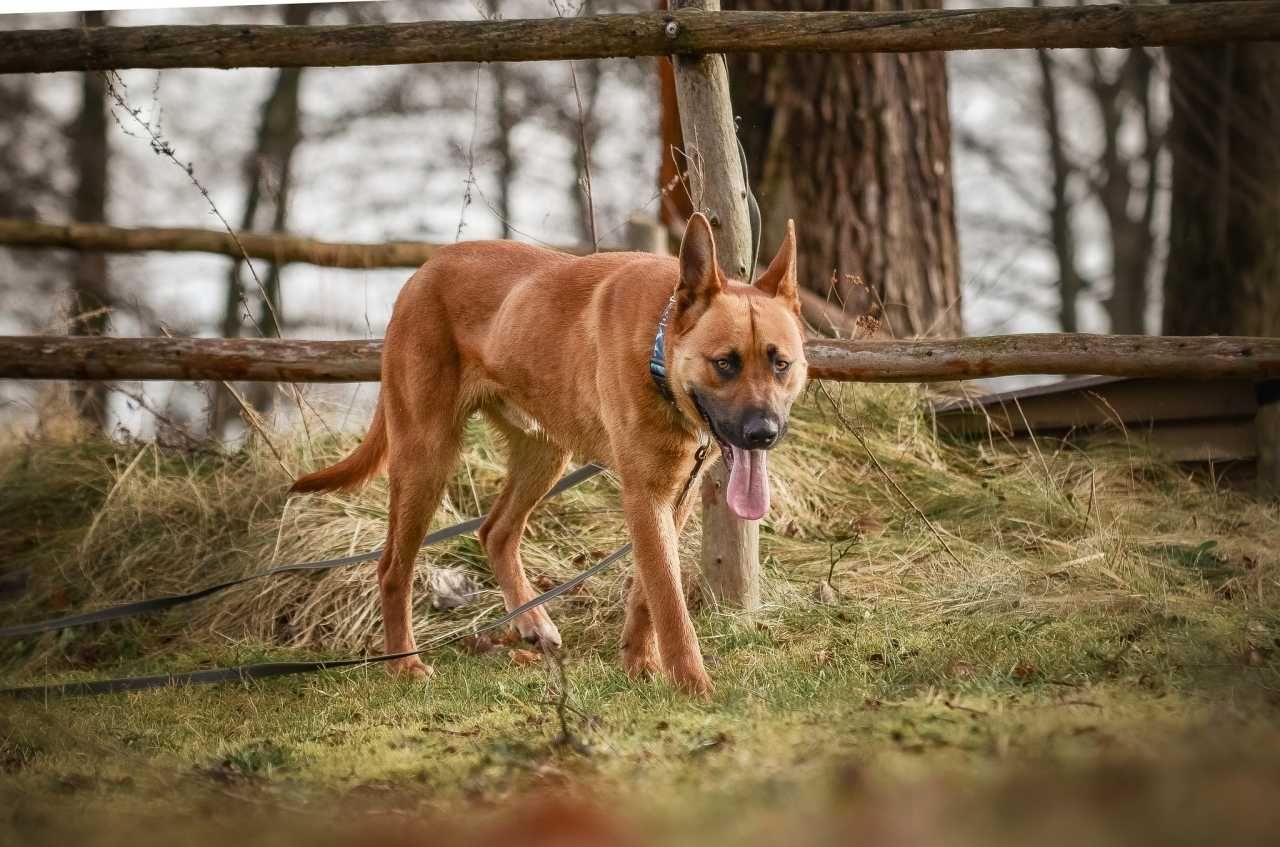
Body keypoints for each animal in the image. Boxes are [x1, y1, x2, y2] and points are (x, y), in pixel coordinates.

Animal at [294, 213, 803, 696]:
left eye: (781, 364)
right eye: (725, 363)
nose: (763, 434)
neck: (659, 349)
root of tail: (423, 271)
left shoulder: (673, 496)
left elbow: (647, 592)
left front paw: (639, 663)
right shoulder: (645, 496)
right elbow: (669, 602)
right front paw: (693, 686)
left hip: (544, 453)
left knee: (496, 531)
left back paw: (531, 622)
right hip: (425, 458)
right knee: (392, 568)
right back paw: (404, 662)